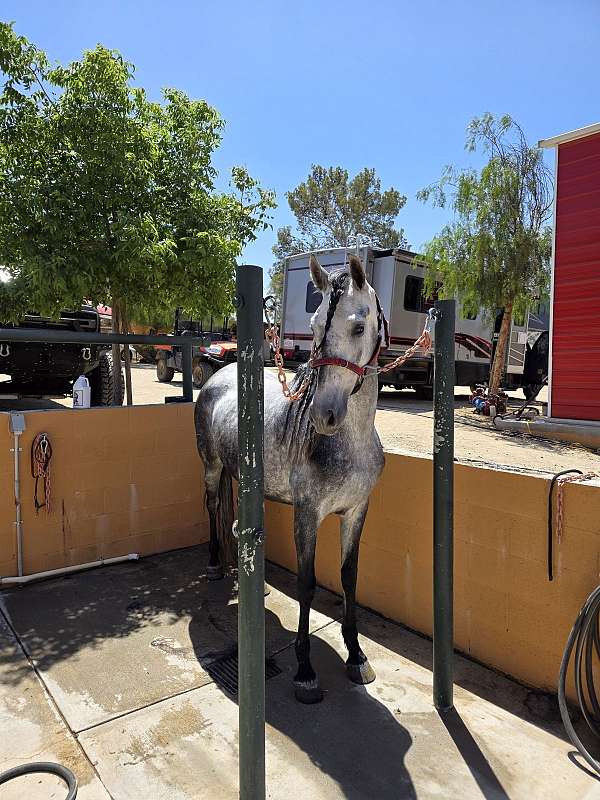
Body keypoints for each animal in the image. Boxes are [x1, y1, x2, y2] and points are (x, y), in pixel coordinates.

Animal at [194, 253, 386, 703]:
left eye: (358, 326)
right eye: (314, 327)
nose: (324, 414)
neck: (349, 442)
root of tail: (216, 376)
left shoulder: (357, 511)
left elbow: (349, 577)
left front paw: (356, 655)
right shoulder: (307, 515)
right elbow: (307, 583)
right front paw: (305, 670)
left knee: (235, 522)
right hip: (212, 468)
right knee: (211, 507)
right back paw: (214, 564)